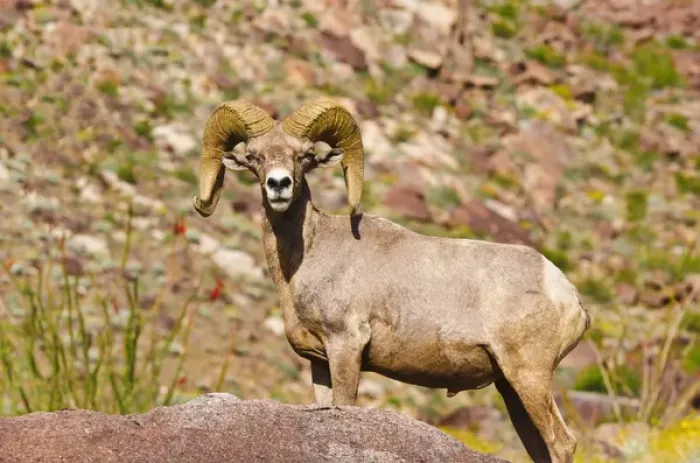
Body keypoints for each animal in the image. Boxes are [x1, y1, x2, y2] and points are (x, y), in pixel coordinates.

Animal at [193, 99, 591, 463]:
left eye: (303, 156)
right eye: (255, 157)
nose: (279, 185)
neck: (310, 255)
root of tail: (567, 295)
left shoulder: (346, 348)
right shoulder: (320, 363)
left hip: (529, 376)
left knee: (562, 443)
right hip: (510, 387)